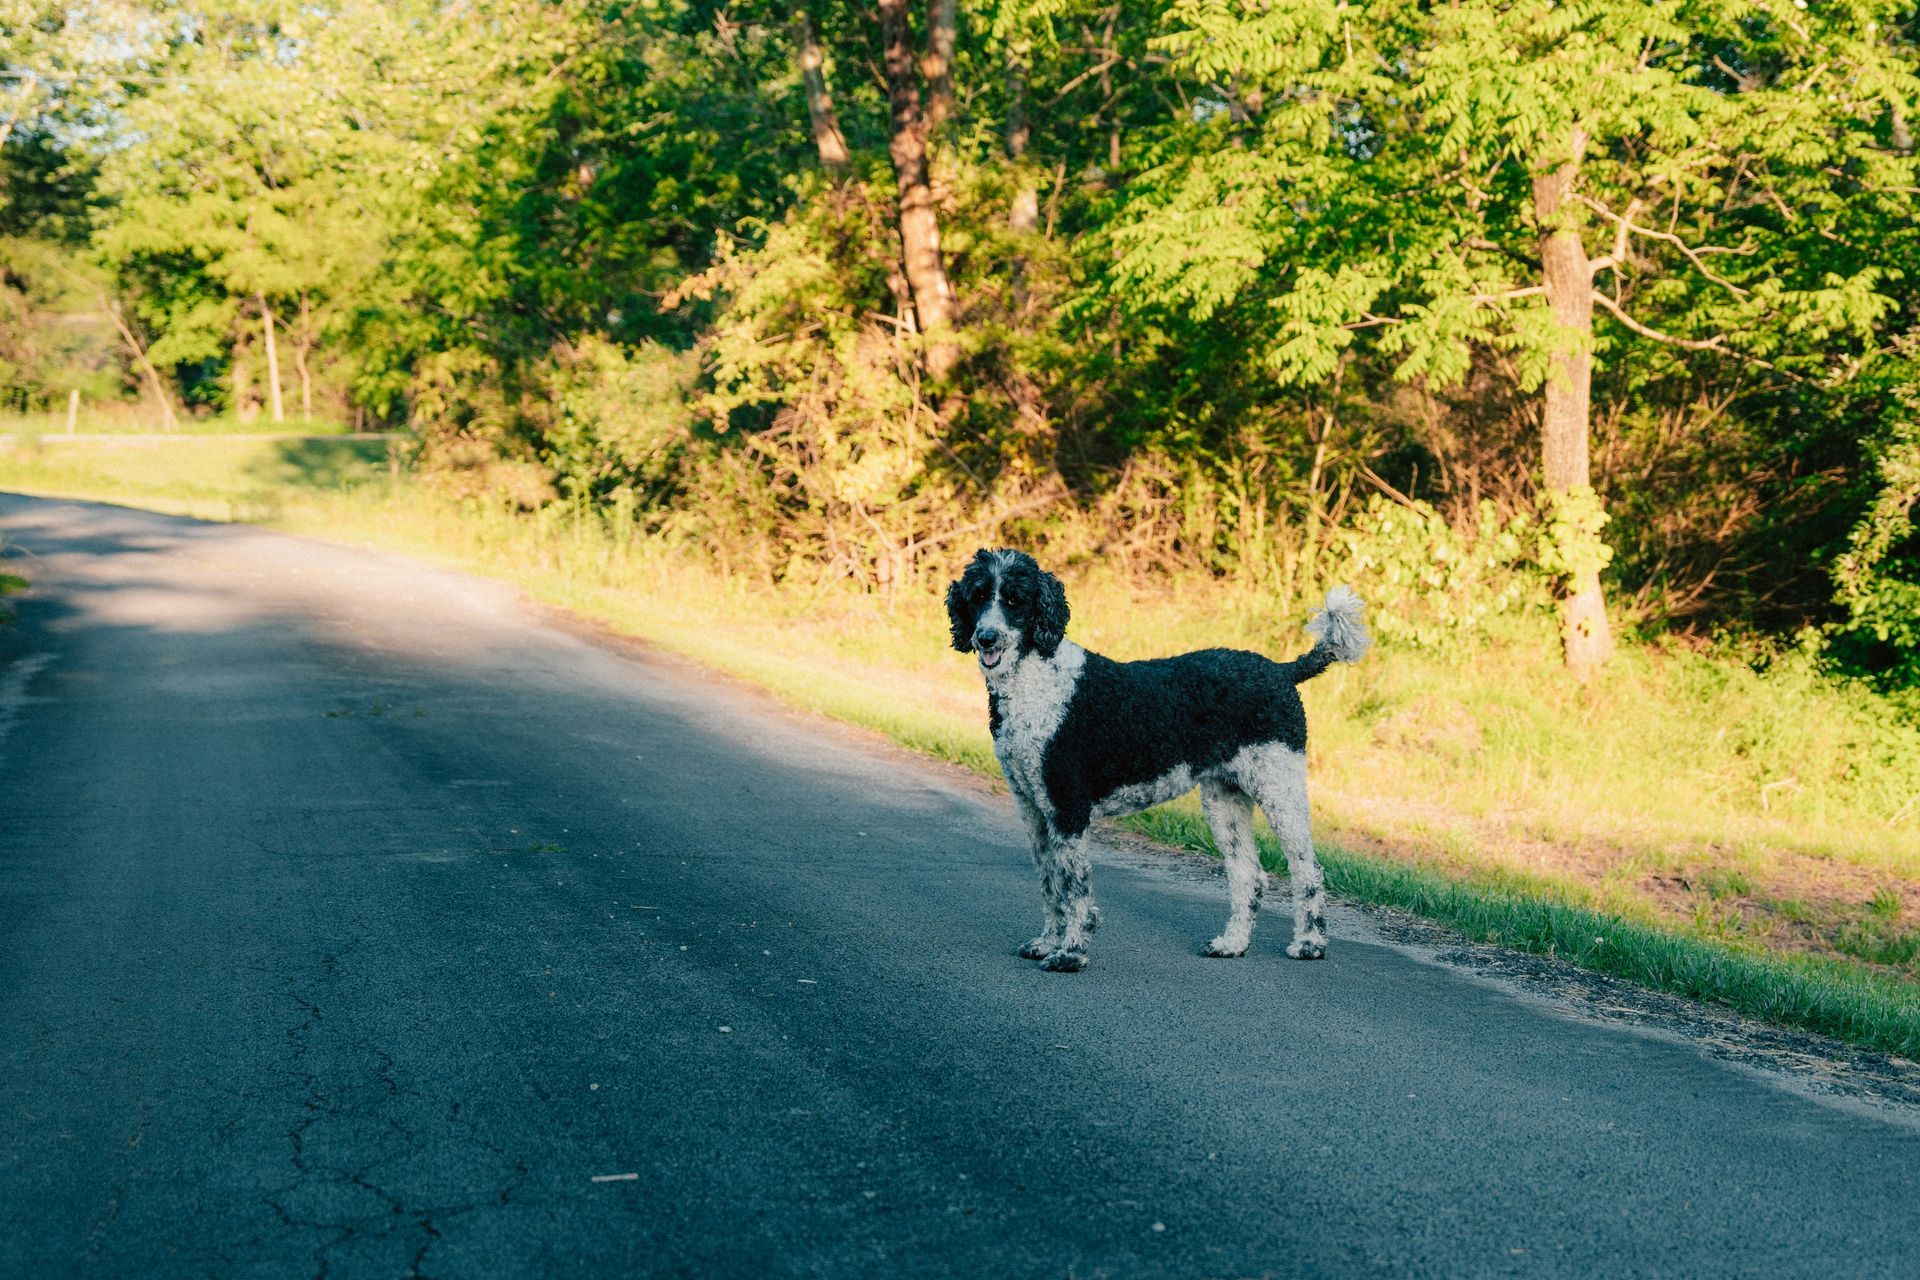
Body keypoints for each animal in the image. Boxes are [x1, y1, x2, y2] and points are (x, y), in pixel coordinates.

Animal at [940, 545, 1367, 974]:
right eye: (978, 595)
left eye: (1015, 599)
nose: (985, 637)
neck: (1037, 680)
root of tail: (1281, 671)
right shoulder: (1033, 808)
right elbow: (1050, 883)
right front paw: (1047, 942)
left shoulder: (1068, 808)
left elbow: (1074, 889)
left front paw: (1071, 951)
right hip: (1225, 798)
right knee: (1249, 875)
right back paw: (1232, 943)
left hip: (1279, 787)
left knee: (1306, 870)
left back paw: (1310, 943)